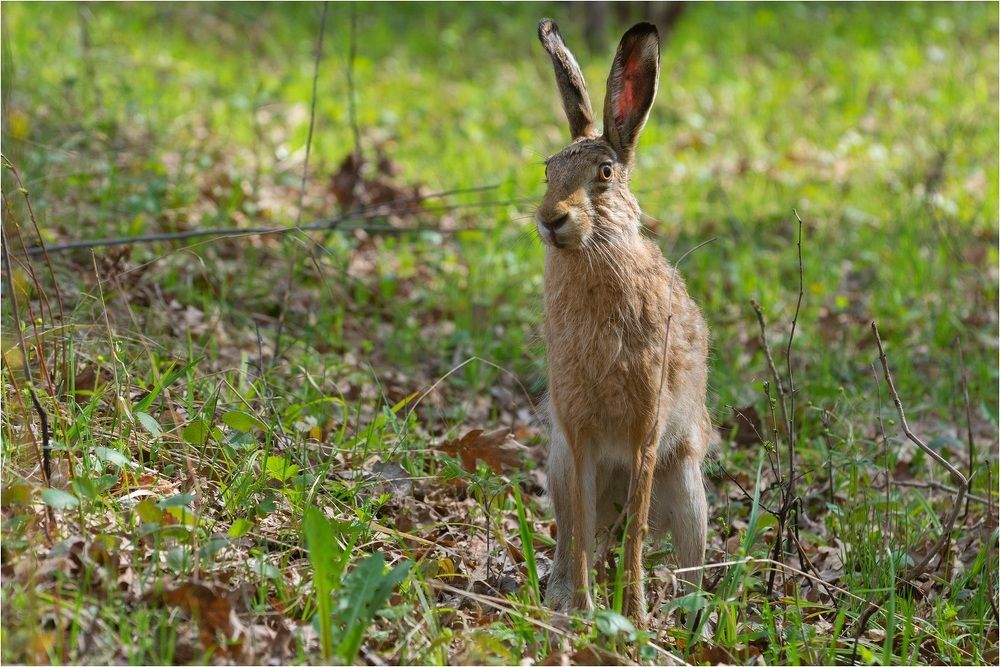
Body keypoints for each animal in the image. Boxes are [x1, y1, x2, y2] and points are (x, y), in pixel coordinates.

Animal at [535, 18, 712, 625]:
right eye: (547, 170)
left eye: (606, 173)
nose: (550, 219)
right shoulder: (577, 436)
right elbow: (582, 530)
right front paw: (581, 610)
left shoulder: (645, 427)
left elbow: (634, 533)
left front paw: (629, 614)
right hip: (558, 467)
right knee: (578, 534)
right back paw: (559, 594)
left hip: (688, 490)